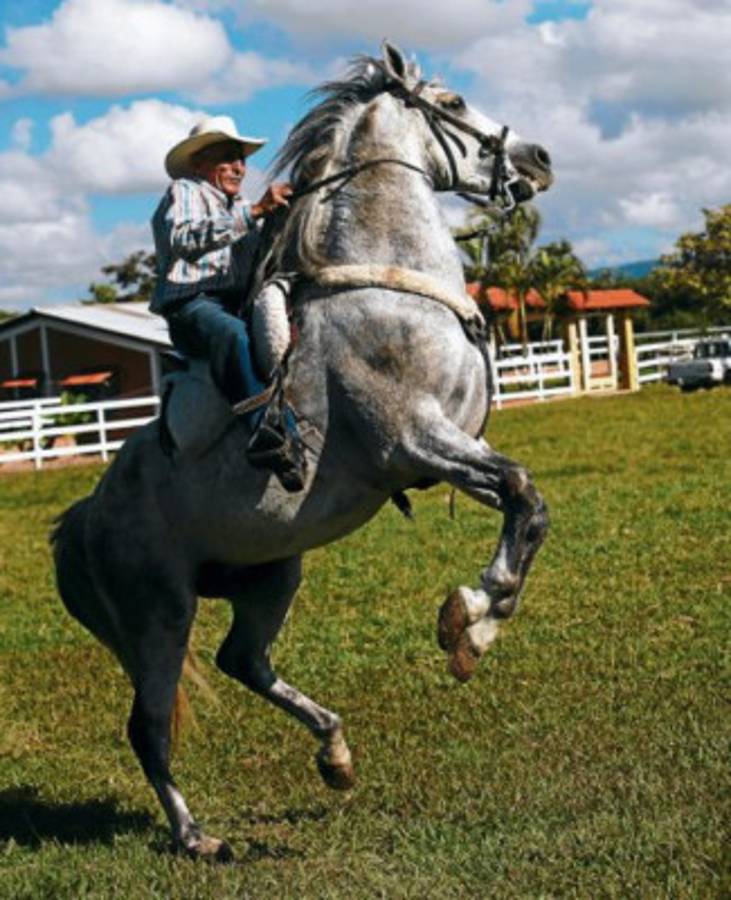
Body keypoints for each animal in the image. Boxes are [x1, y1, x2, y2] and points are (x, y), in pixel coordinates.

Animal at [52, 42, 554, 861]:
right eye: (452, 100)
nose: (536, 159)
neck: (386, 286)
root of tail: (85, 517)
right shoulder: (413, 439)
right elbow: (521, 496)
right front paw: (470, 618)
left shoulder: (454, 447)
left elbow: (525, 505)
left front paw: (476, 626)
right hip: (160, 614)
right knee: (149, 728)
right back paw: (197, 837)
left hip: (269, 576)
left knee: (243, 662)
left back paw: (336, 753)